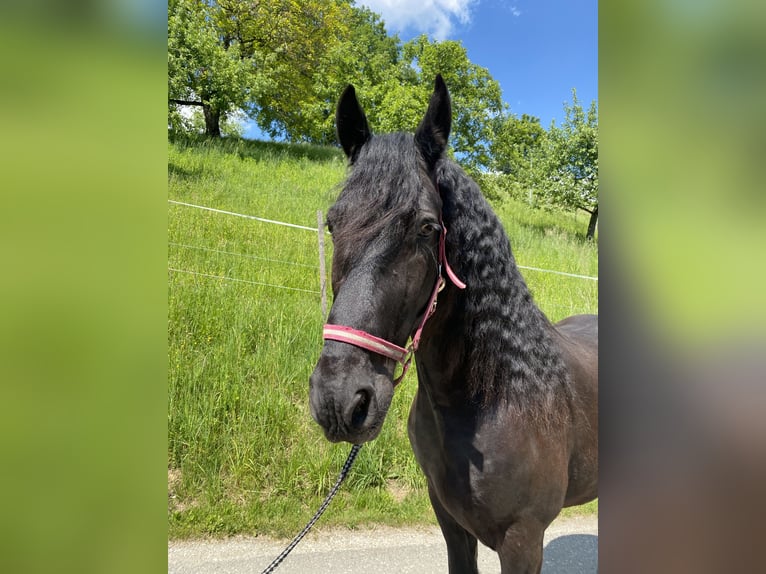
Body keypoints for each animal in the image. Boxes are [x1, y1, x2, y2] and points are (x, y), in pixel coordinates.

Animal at [308, 77, 596, 574]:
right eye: (332, 222)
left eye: (427, 227)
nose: (340, 400)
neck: (493, 398)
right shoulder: (449, 519)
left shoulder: (524, 541)